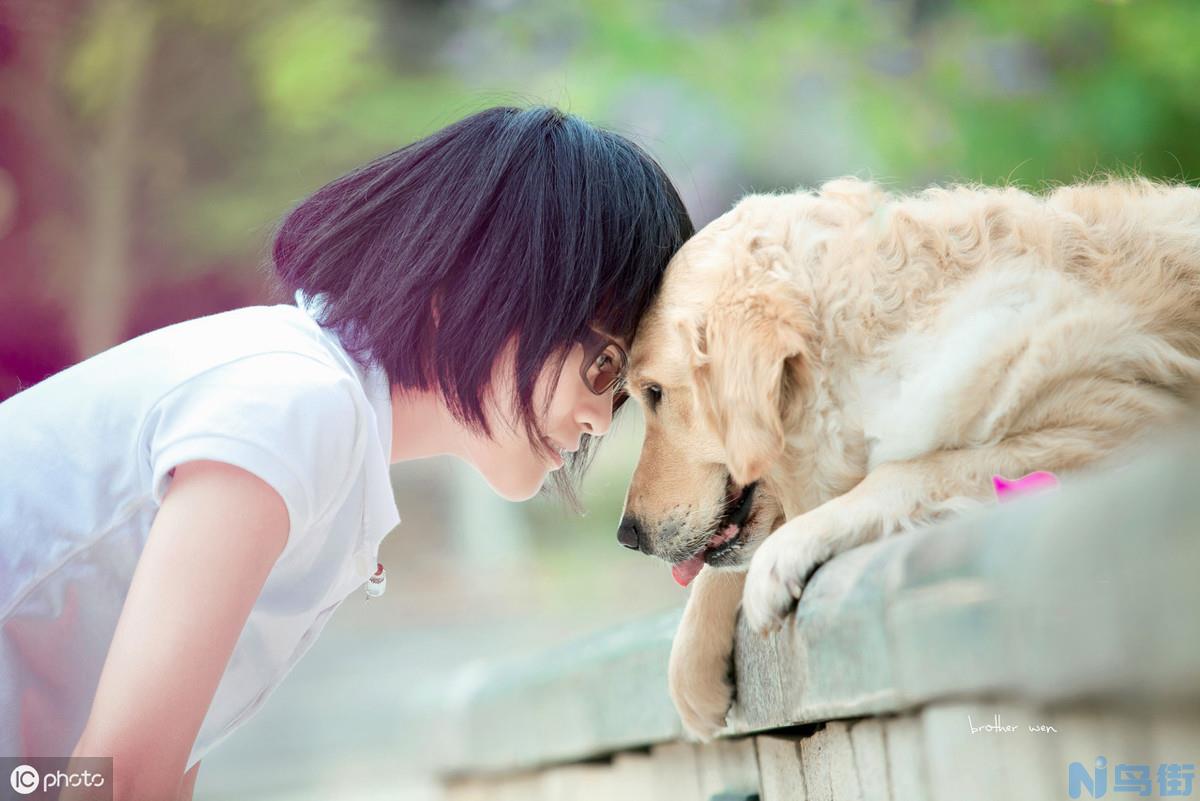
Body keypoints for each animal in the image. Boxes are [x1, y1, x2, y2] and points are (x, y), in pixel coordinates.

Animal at [614, 175, 1200, 738]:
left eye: (654, 393)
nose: (627, 536)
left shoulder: (1127, 416)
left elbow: (904, 472)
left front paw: (785, 554)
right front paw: (690, 672)